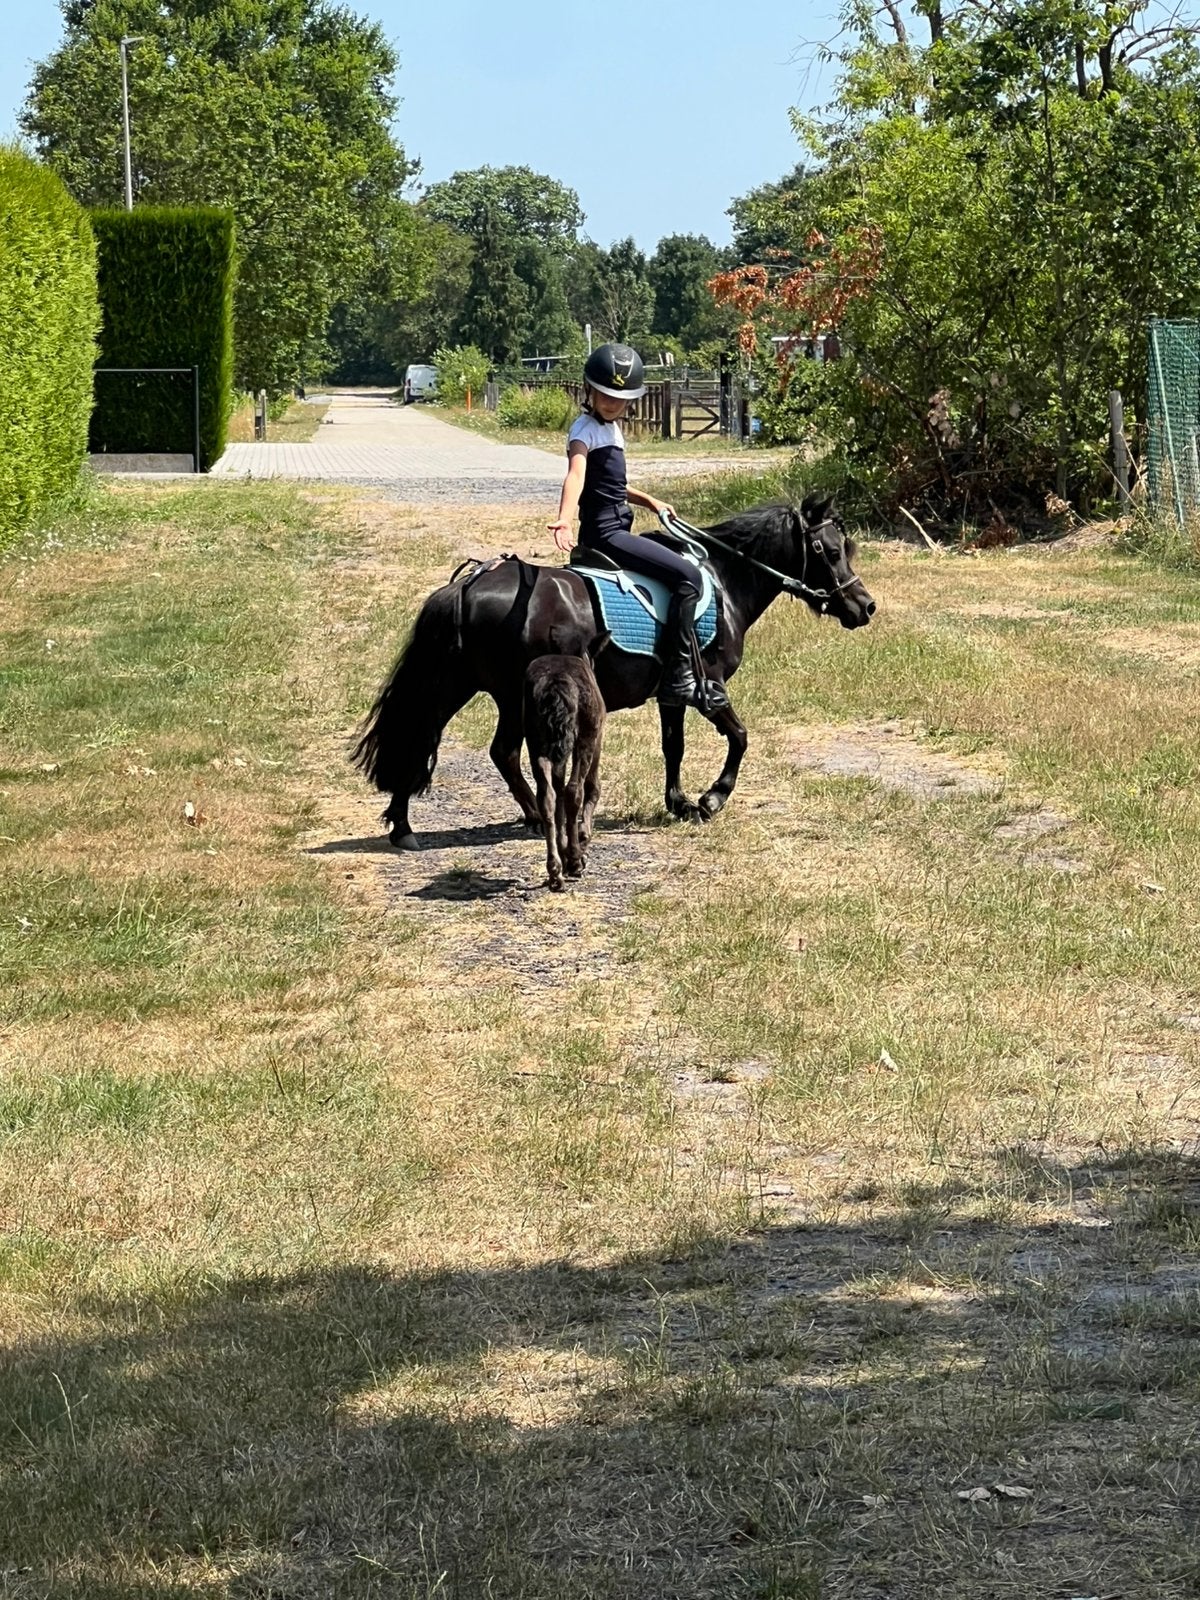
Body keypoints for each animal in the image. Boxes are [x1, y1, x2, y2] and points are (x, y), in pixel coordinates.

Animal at [352, 496, 875, 850]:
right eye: (830, 551)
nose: (865, 606)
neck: (723, 583)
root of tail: (468, 584)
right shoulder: (710, 687)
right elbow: (740, 737)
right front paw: (712, 799)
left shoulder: (674, 692)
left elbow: (673, 746)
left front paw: (678, 802)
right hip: (494, 692)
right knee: (454, 742)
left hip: (476, 688)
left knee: (465, 744)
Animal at [523, 632, 609, 891]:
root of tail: (555, 684)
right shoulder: (596, 735)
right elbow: (592, 788)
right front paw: (582, 839)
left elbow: (558, 793)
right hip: (584, 737)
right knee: (574, 791)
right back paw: (573, 859)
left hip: (536, 740)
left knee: (547, 797)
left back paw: (555, 869)